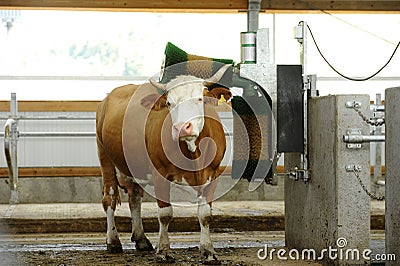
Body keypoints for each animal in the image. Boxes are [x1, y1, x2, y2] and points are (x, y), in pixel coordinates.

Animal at [96, 64, 231, 264]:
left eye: (199, 99)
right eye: (169, 103)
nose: (182, 128)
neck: (193, 151)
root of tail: (108, 97)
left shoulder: (212, 174)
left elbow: (205, 214)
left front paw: (209, 251)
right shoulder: (160, 173)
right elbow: (165, 214)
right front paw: (164, 251)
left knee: (135, 198)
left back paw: (141, 239)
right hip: (105, 157)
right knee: (110, 198)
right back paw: (113, 241)